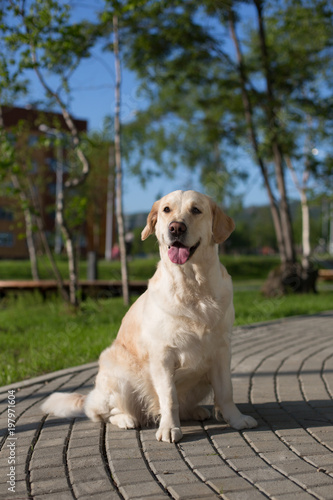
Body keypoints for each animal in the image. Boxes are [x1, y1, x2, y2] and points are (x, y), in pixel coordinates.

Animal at [41, 190, 256, 442]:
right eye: (166, 210)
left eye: (196, 210)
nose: (176, 228)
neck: (193, 286)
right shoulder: (163, 355)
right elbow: (169, 398)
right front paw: (169, 428)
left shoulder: (221, 349)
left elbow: (225, 391)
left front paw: (236, 419)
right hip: (118, 374)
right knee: (103, 413)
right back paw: (126, 419)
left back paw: (196, 411)